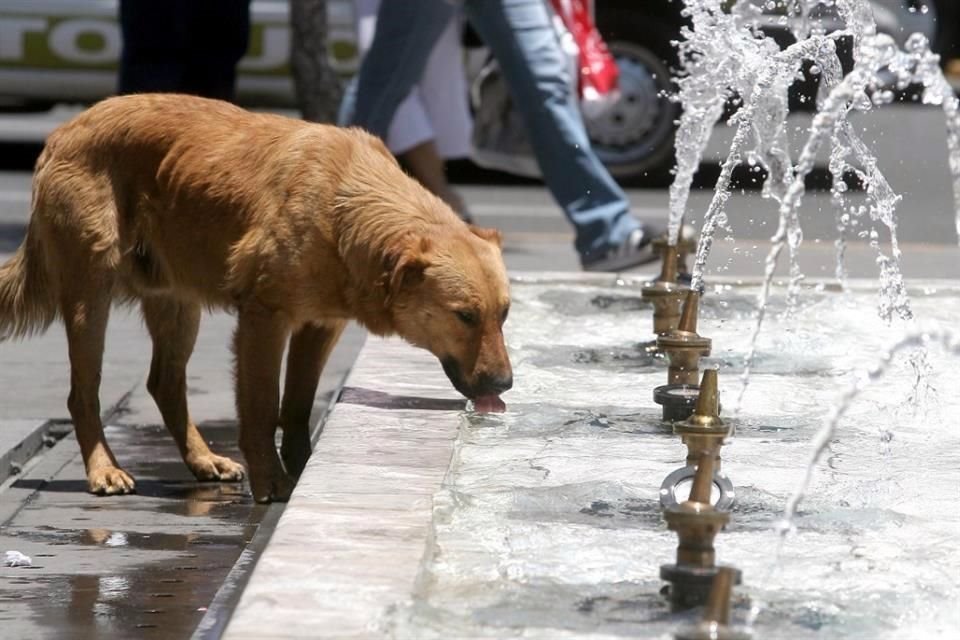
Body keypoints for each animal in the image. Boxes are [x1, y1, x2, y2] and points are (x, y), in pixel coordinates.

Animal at [0, 94, 512, 504]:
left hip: (177, 303)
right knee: (83, 393)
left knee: (164, 383)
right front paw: (274, 483)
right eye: (465, 316)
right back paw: (103, 469)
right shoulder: (264, 319)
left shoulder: (321, 325)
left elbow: (298, 405)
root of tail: (64, 131)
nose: (505, 384)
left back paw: (202, 459)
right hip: (90, 297)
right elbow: (264, 406)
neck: (344, 203)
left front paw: (304, 468)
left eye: (504, 314)